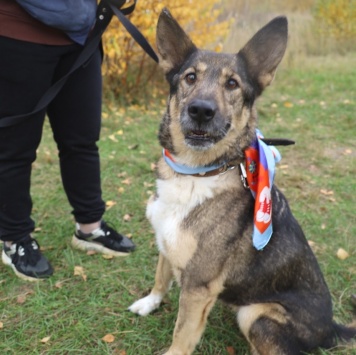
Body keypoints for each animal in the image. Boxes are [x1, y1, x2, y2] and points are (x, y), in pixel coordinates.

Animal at [129, 8, 356, 355]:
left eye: (232, 84)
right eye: (190, 77)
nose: (201, 111)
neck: (196, 173)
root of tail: (330, 329)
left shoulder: (198, 286)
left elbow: (181, 336)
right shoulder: (166, 246)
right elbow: (160, 277)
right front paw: (150, 302)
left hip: (255, 314)